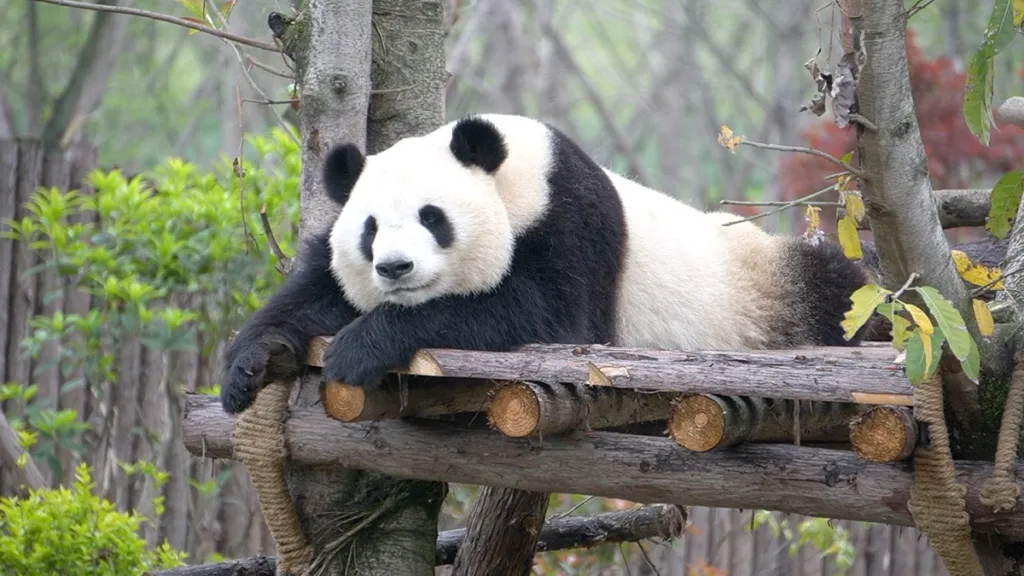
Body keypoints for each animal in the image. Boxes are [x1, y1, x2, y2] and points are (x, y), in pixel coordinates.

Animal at [219, 113, 868, 415]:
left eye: (433, 217)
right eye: (371, 230)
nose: (395, 269)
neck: (519, 178)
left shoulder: (574, 222)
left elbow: (541, 315)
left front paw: (358, 347)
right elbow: (318, 292)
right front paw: (249, 363)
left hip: (779, 281)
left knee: (842, 292)